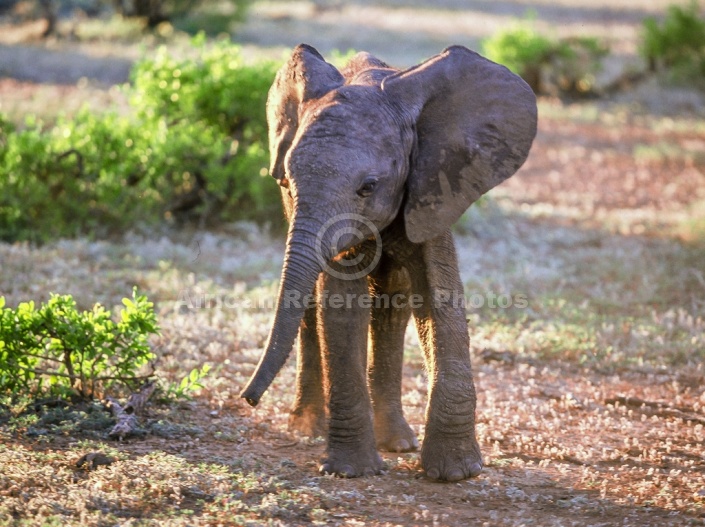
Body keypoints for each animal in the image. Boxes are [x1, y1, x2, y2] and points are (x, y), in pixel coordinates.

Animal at [241, 45, 532, 482]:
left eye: (369, 187)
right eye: (286, 183)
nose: (248, 399)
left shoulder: (433, 183)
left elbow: (439, 294)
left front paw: (455, 473)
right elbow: (341, 304)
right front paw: (353, 471)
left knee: (393, 304)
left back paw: (396, 442)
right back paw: (309, 429)